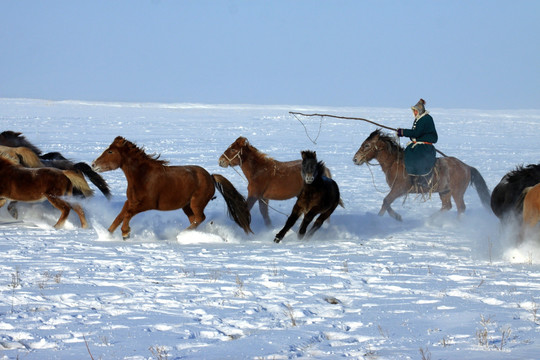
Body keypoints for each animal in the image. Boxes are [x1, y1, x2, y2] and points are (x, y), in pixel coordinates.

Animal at [92, 136, 253, 239]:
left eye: (110, 151)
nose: (93, 164)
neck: (142, 177)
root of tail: (210, 176)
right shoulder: (131, 201)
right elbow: (120, 215)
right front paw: (107, 234)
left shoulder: (147, 204)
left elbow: (128, 214)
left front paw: (125, 233)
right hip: (186, 206)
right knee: (195, 220)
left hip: (196, 203)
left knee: (200, 218)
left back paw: (181, 234)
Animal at [352, 128, 492, 221]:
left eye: (367, 145)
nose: (355, 159)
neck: (394, 163)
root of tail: (467, 167)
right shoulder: (397, 190)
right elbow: (387, 203)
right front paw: (397, 217)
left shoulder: (399, 189)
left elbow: (386, 201)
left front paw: (385, 218)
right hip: (445, 191)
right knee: (447, 206)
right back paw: (431, 220)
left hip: (457, 192)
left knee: (461, 208)